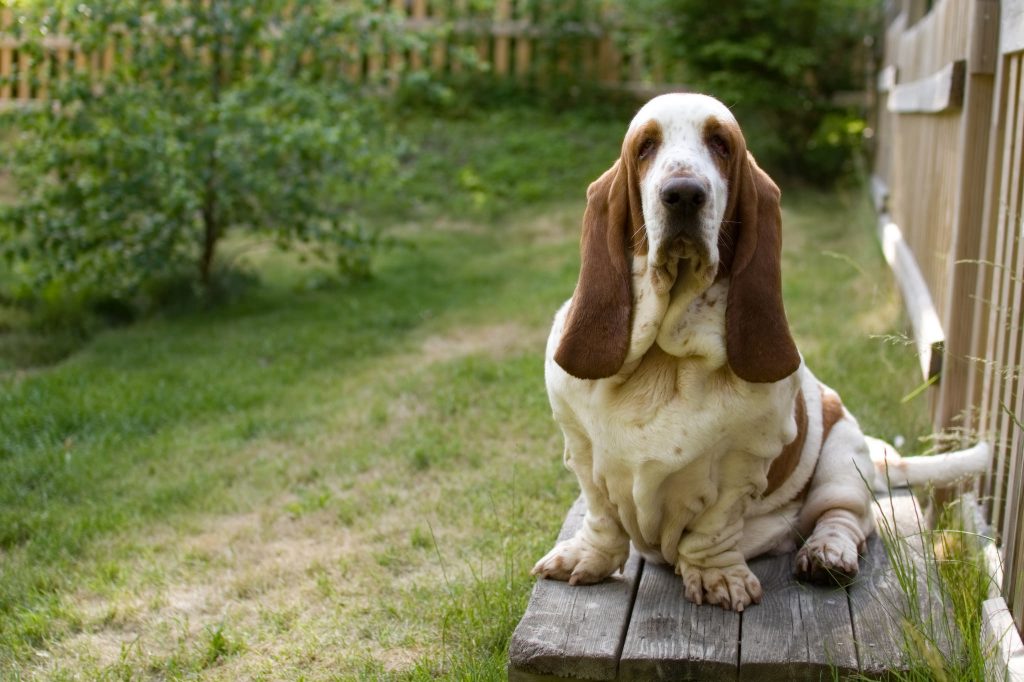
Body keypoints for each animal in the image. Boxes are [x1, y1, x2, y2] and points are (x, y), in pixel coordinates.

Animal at [536, 91, 991, 610]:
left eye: (721, 144)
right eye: (645, 146)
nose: (684, 194)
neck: (667, 356)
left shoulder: (742, 465)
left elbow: (713, 528)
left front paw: (718, 578)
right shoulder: (582, 450)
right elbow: (601, 518)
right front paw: (586, 559)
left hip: (842, 455)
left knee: (846, 517)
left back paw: (827, 557)